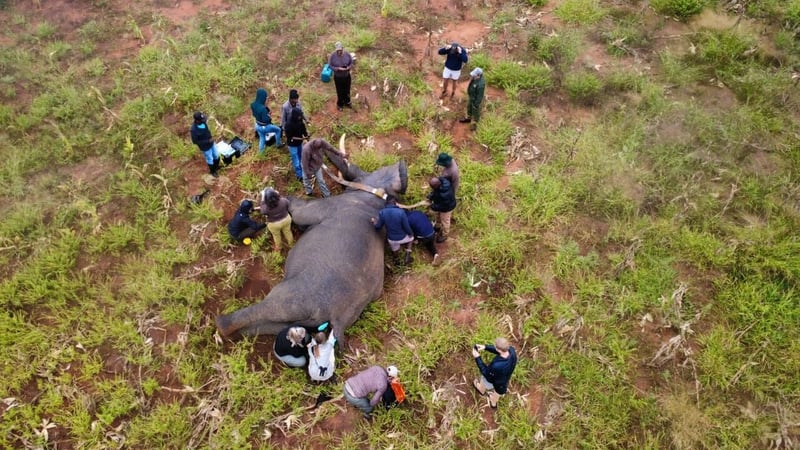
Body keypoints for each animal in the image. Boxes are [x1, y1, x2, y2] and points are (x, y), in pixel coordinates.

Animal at [215, 136, 408, 341]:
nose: (401, 165)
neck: (376, 193)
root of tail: (337, 320)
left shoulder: (328, 206)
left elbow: (299, 212)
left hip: (291, 297)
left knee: (267, 309)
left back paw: (221, 323)